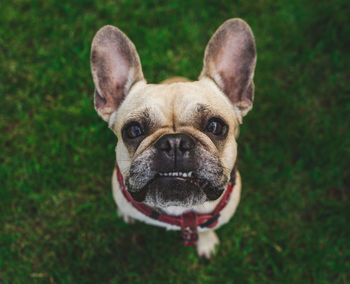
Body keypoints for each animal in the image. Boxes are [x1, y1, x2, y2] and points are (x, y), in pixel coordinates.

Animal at [89, 17, 254, 258]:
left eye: (216, 126)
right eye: (133, 131)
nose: (174, 142)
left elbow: (206, 228)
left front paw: (206, 242)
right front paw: (125, 212)